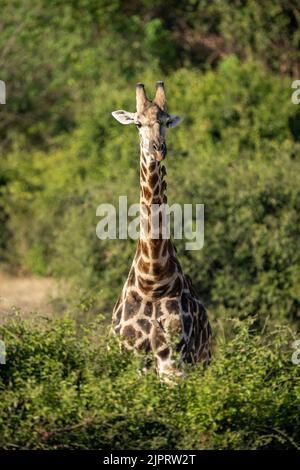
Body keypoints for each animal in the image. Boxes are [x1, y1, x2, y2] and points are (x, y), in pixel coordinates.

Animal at [110, 81, 211, 378]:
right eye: (138, 123)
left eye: (166, 121)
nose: (158, 149)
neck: (153, 280)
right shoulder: (132, 359)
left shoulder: (173, 363)